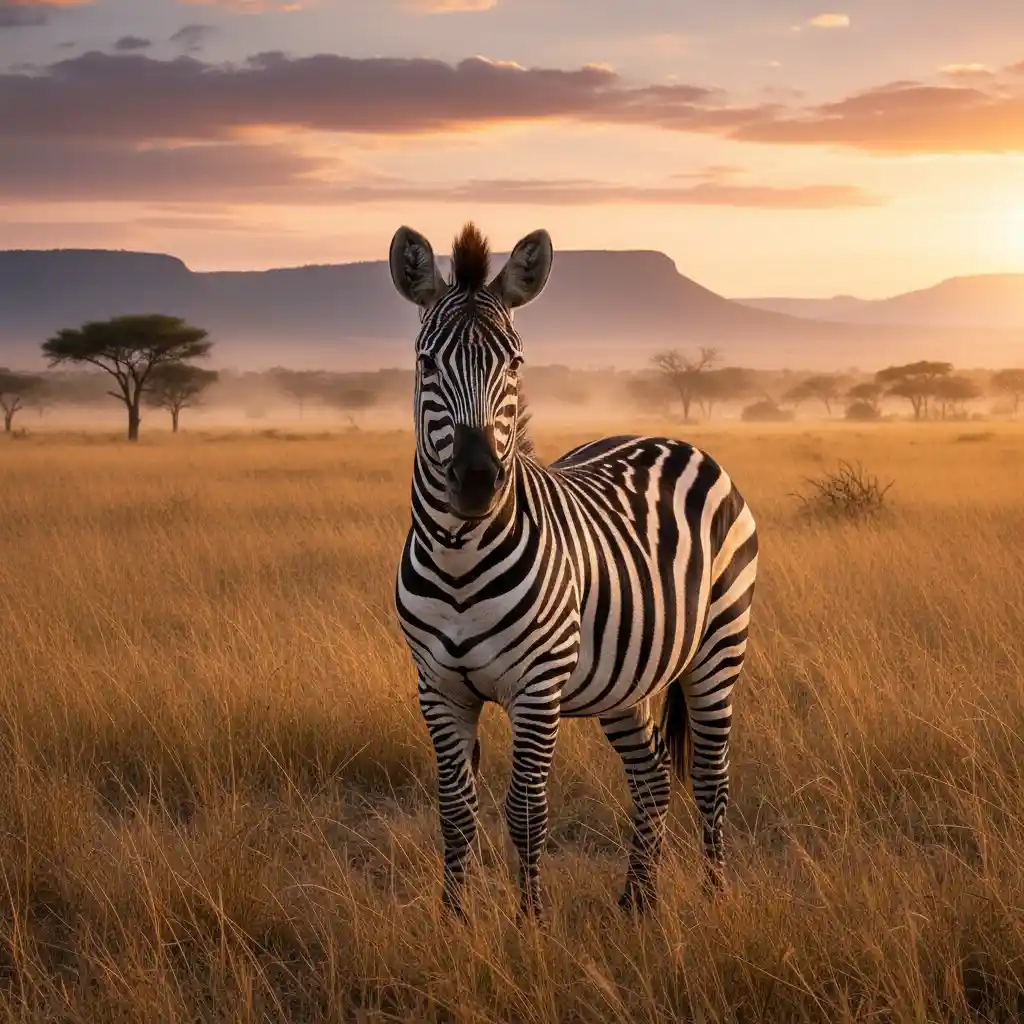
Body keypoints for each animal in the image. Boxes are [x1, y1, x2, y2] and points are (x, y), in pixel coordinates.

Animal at [389, 221, 759, 919]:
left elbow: (526, 811)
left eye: (514, 362)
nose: (476, 483)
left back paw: (717, 896)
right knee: (651, 775)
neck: (458, 559)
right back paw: (638, 900)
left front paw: (530, 922)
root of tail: (671, 438)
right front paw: (453, 921)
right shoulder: (437, 686)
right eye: (426, 363)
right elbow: (454, 810)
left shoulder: (538, 687)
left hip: (720, 644)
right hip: (626, 679)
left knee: (711, 776)